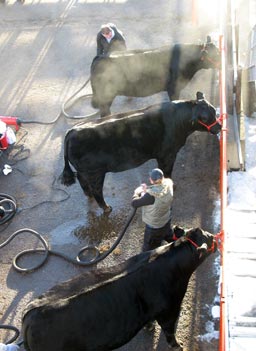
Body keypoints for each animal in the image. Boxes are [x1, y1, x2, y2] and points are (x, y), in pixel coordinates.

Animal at [22, 227, 218, 350]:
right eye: (208, 238)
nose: (215, 237)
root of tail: (29, 314)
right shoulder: (169, 311)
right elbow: (170, 335)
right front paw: (179, 346)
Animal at [59, 92, 221, 213]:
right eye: (205, 118)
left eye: (214, 111)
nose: (219, 127)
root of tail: (72, 131)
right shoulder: (167, 155)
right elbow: (167, 172)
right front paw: (170, 186)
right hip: (95, 172)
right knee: (97, 190)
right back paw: (106, 207)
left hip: (85, 170)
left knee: (81, 180)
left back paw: (89, 195)